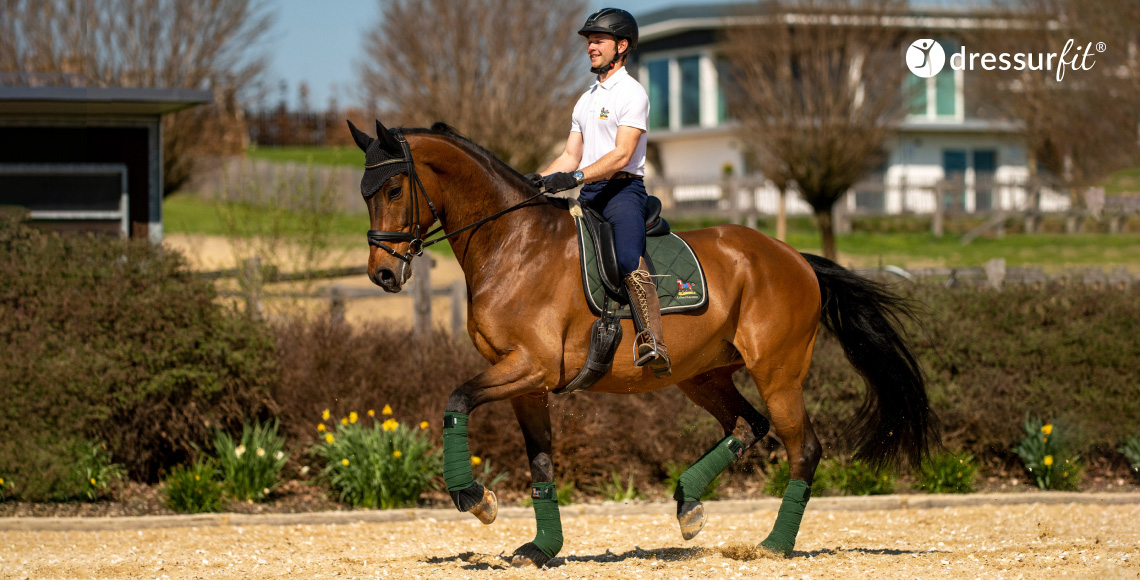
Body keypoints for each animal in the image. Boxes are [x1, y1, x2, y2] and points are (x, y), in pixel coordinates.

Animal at [346, 117, 934, 565]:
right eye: (365, 194)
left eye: (394, 189)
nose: (382, 275)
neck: (512, 244)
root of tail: (794, 257)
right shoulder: (526, 385)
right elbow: (541, 463)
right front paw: (541, 547)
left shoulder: (531, 367)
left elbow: (457, 399)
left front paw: (474, 497)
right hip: (703, 375)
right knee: (748, 424)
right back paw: (688, 505)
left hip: (778, 373)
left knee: (803, 447)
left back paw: (772, 545)